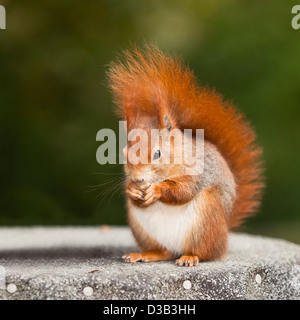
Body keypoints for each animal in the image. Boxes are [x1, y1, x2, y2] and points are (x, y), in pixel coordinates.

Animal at [106, 43, 264, 266]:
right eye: (124, 153)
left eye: (157, 153)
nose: (138, 179)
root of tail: (225, 229)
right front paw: (133, 190)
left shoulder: (197, 171)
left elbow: (183, 190)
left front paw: (157, 190)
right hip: (144, 231)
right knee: (164, 251)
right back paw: (146, 254)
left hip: (206, 219)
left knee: (207, 252)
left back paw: (190, 257)